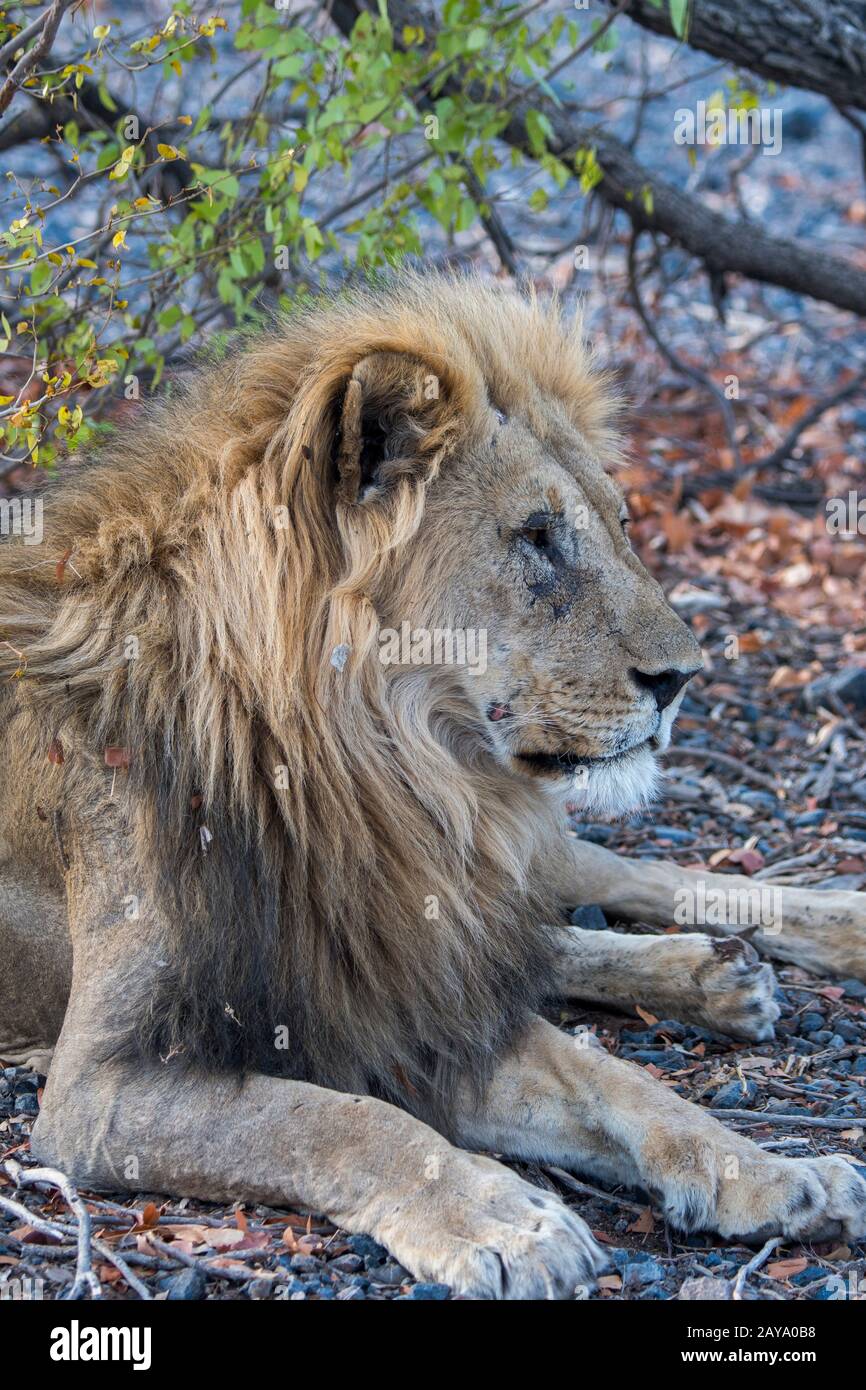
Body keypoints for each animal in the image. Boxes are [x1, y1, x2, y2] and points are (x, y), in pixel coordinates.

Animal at [1, 272, 865, 1300]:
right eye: (537, 538)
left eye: (620, 526)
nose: (683, 679)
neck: (376, 786)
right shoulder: (96, 1089)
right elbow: (333, 1122)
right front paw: (503, 1220)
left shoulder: (400, 990)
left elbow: (614, 1080)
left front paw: (773, 1172)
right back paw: (713, 976)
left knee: (595, 887)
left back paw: (788, 946)